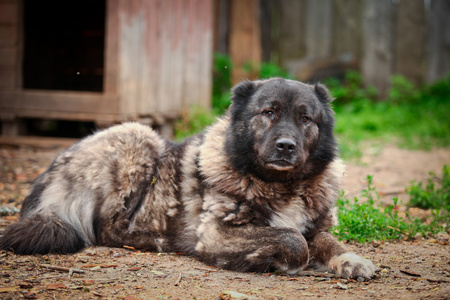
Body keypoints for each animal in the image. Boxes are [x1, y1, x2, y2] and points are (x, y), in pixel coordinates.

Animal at [0, 78, 376, 278]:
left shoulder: (316, 226)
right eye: (268, 113)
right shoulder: (217, 232)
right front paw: (280, 262)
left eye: (305, 118)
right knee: (107, 227)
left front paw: (351, 260)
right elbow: (293, 240)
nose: (286, 146)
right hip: (138, 136)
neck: (280, 184)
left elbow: (328, 241)